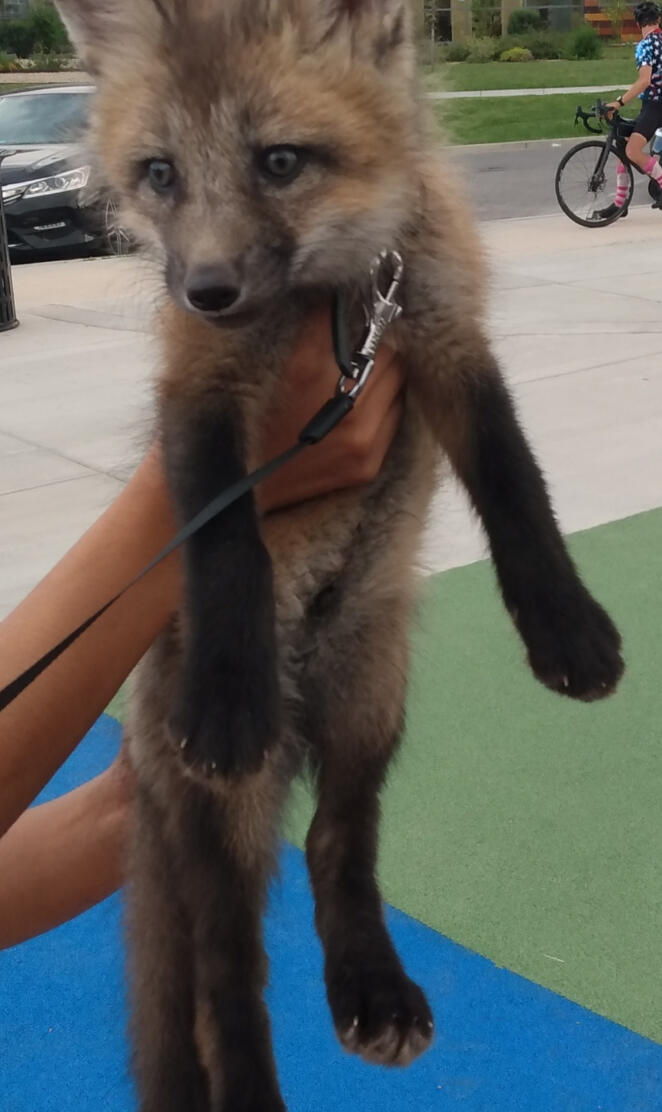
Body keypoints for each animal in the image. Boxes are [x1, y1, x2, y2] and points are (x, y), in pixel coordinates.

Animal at [54, 0, 624, 1109]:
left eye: (279, 160)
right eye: (158, 173)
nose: (206, 287)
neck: (335, 296)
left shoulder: (446, 334)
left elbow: (517, 486)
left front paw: (565, 628)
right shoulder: (200, 389)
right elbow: (224, 541)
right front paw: (227, 695)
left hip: (371, 702)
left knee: (334, 843)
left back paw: (374, 986)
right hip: (229, 806)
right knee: (224, 978)